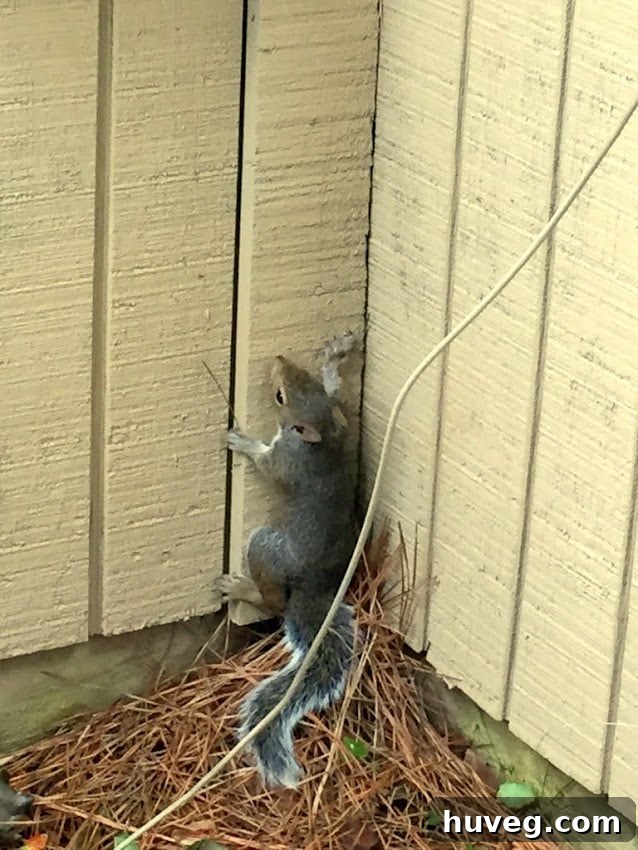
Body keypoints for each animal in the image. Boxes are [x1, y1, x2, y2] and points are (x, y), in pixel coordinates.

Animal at [214, 331, 358, 789]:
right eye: (302, 379)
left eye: (280, 398)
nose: (277, 359)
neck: (323, 436)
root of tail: (314, 585)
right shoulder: (343, 420)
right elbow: (341, 395)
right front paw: (336, 359)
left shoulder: (286, 461)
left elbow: (266, 465)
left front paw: (242, 441)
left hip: (263, 546)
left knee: (274, 601)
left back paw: (242, 587)